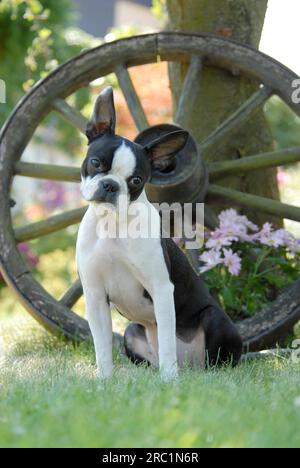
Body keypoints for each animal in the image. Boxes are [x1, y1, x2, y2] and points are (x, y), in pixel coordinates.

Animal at [76, 88, 243, 380]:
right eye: (95, 163)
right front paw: (104, 380)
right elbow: (102, 346)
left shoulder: (162, 289)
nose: (110, 185)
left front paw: (168, 381)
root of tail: (190, 366)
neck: (112, 225)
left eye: (136, 180)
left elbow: (166, 340)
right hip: (131, 331)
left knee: (215, 361)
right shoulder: (95, 294)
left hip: (213, 318)